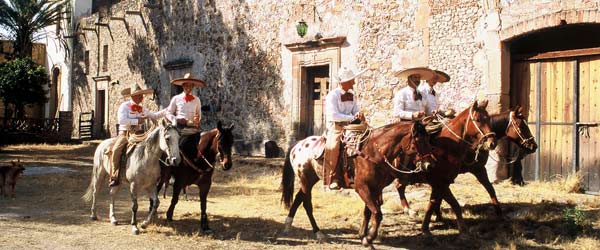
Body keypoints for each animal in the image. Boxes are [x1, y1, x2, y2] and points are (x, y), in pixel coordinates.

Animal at [282, 120, 436, 240]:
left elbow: (368, 211)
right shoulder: (362, 188)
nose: (430, 164)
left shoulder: (375, 188)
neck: (374, 152)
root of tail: (298, 144)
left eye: (429, 139)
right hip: (305, 179)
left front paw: (362, 234)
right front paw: (370, 236)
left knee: (298, 197)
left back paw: (288, 225)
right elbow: (377, 213)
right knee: (307, 204)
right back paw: (318, 232)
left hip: (310, 179)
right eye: (419, 140)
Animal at [354, 100, 494, 248]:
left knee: (397, 188)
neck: (447, 149)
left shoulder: (441, 184)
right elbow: (453, 205)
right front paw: (463, 232)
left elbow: (432, 204)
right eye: (478, 120)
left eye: (488, 118)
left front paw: (427, 228)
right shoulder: (440, 183)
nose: (492, 143)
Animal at [394, 105, 540, 221]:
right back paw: (408, 210)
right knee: (399, 186)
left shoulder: (478, 169)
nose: (534, 146)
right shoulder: (474, 169)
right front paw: (437, 215)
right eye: (522, 126)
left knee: (399, 186)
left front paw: (499, 213)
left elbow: (490, 189)